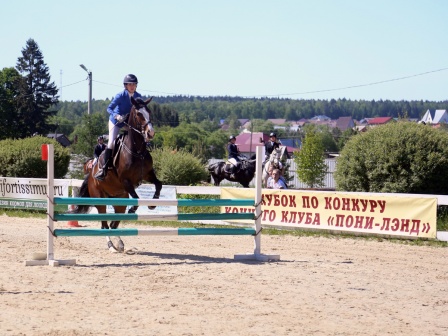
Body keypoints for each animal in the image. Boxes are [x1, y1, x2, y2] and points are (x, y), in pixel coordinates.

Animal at [71, 96, 162, 252]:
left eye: (149, 112)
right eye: (139, 114)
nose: (150, 133)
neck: (137, 150)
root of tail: (91, 174)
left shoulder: (148, 174)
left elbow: (159, 184)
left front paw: (153, 204)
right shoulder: (125, 180)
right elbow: (136, 198)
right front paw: (133, 209)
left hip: (119, 199)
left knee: (114, 224)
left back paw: (119, 243)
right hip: (100, 199)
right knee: (104, 224)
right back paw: (111, 246)